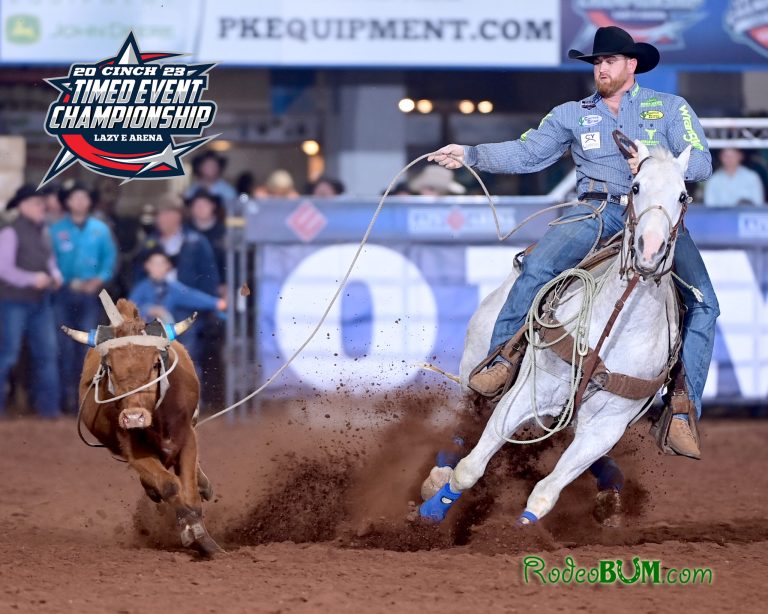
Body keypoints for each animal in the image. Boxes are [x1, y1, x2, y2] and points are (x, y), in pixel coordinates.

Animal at [420, 142, 688, 528]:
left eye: (683, 196)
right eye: (636, 187)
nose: (649, 250)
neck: (613, 327)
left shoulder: (605, 428)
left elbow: (546, 493)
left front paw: (521, 531)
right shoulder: (527, 392)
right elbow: (470, 468)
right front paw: (433, 510)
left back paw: (610, 493)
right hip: (472, 375)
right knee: (466, 422)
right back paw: (436, 477)